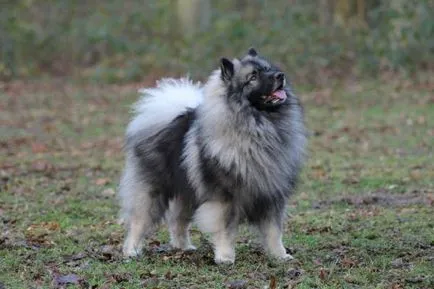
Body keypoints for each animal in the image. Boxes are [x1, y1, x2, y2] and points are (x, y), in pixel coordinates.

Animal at [118, 47, 306, 264]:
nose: (280, 75)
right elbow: (225, 229)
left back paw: (184, 246)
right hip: (152, 192)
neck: (259, 127)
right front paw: (225, 257)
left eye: (268, 69)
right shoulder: (225, 198)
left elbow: (274, 231)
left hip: (189, 192)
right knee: (139, 222)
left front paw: (280, 255)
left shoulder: (272, 195)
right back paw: (131, 251)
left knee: (177, 221)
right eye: (253, 77)